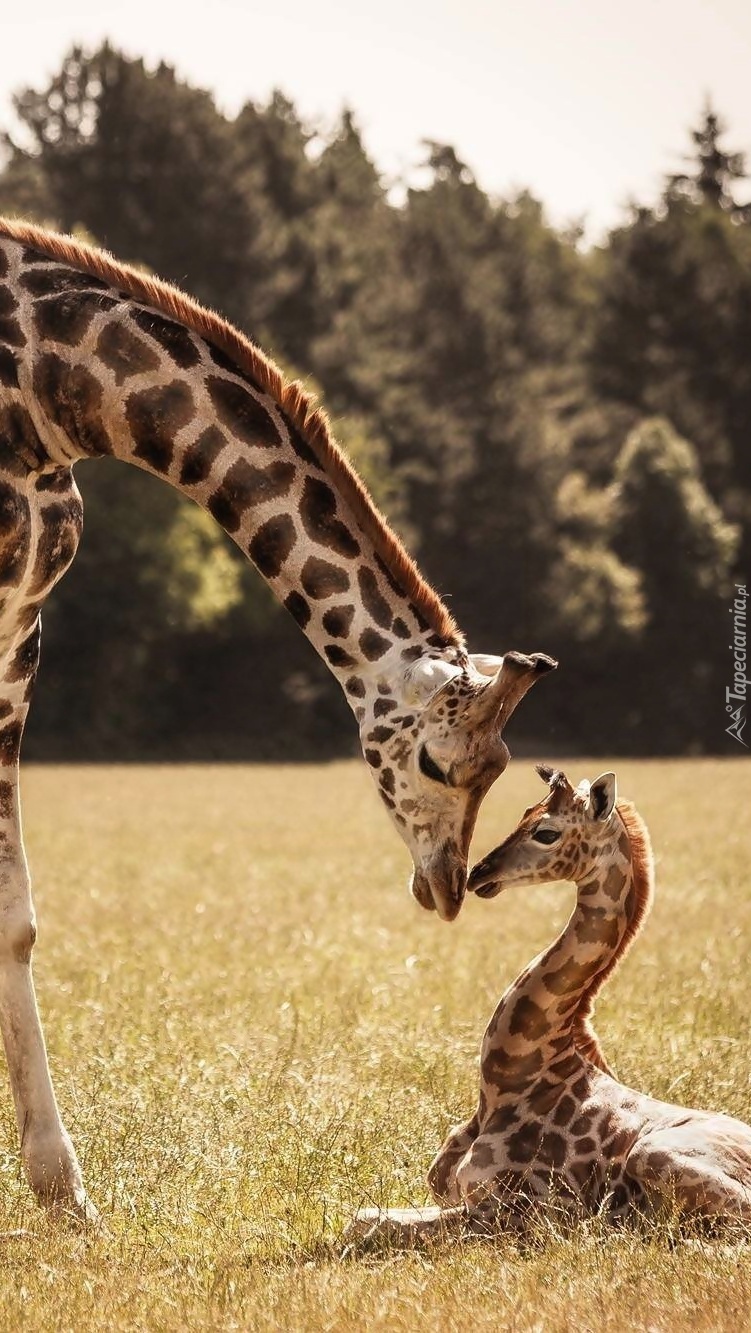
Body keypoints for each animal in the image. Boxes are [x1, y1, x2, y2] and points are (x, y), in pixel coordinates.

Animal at [0, 221, 554, 1221]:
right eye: (441, 764)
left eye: (499, 770)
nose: (447, 886)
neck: (49, 390)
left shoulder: (21, 621)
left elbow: (14, 911)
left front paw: (60, 1186)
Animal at [349, 767, 751, 1242]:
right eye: (523, 814)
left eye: (546, 832)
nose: (477, 874)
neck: (508, 1082)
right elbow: (364, 1217)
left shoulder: (522, 1213)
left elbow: (372, 1224)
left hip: (654, 1155)